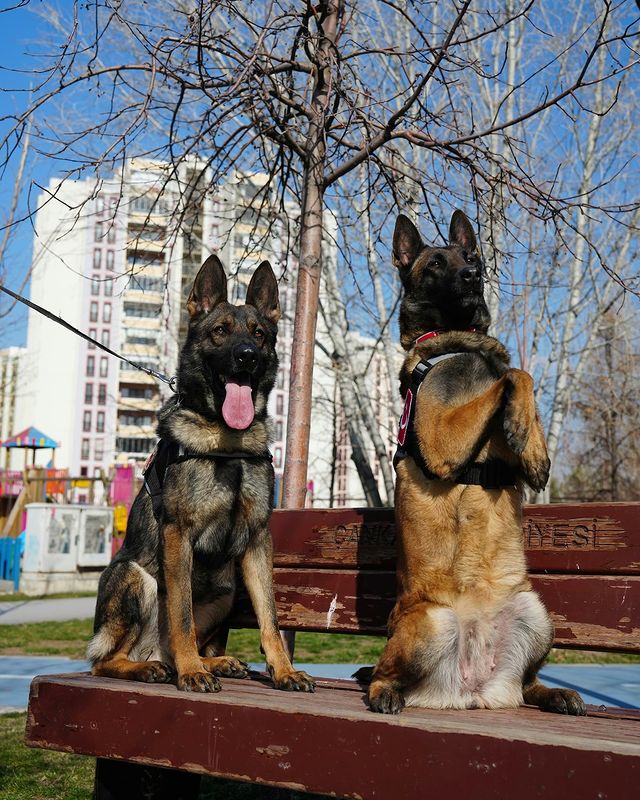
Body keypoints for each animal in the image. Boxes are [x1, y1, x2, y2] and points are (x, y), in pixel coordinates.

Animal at [89, 255, 318, 692]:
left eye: (259, 335)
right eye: (220, 331)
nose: (246, 356)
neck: (227, 444)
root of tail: (150, 651)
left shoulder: (257, 541)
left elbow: (270, 619)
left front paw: (283, 671)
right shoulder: (178, 535)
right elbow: (181, 616)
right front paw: (192, 672)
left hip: (227, 590)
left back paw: (213, 662)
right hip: (134, 576)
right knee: (103, 660)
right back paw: (156, 668)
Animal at [364, 209, 584, 716]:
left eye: (471, 255)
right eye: (435, 263)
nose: (473, 274)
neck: (461, 342)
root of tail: (470, 689)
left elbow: (514, 379)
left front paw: (530, 442)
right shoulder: (444, 441)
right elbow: (514, 373)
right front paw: (518, 418)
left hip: (534, 612)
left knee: (527, 684)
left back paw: (555, 693)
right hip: (433, 621)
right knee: (380, 675)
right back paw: (384, 693)